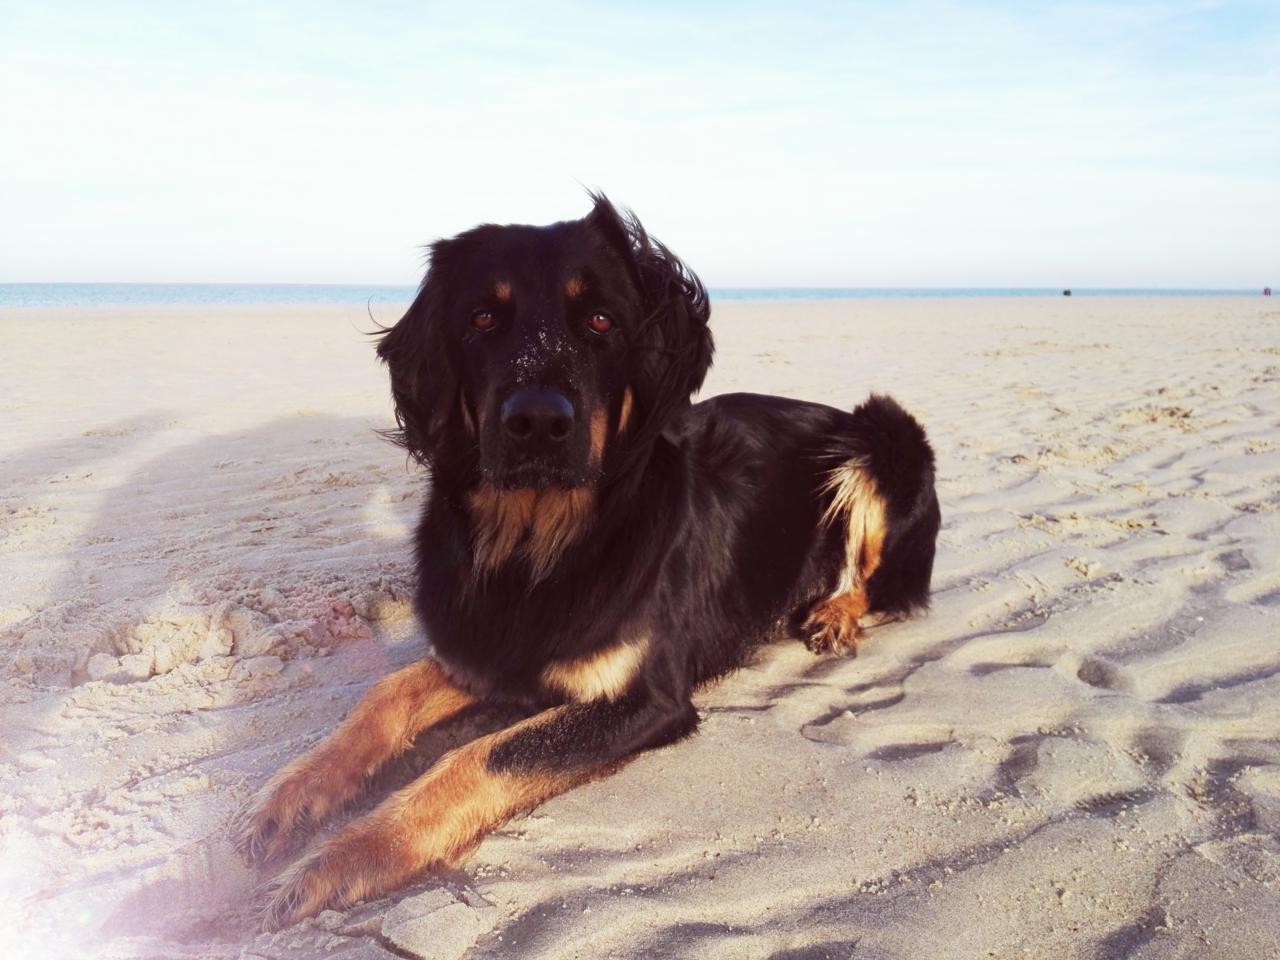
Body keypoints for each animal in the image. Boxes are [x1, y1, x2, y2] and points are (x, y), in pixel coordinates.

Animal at [238, 197, 942, 931]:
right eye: (482, 319)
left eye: (602, 321)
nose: (537, 422)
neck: (536, 548)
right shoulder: (482, 648)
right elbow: (384, 696)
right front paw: (291, 798)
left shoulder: (644, 698)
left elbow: (485, 755)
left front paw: (350, 855)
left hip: (885, 435)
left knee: (879, 580)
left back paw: (834, 614)